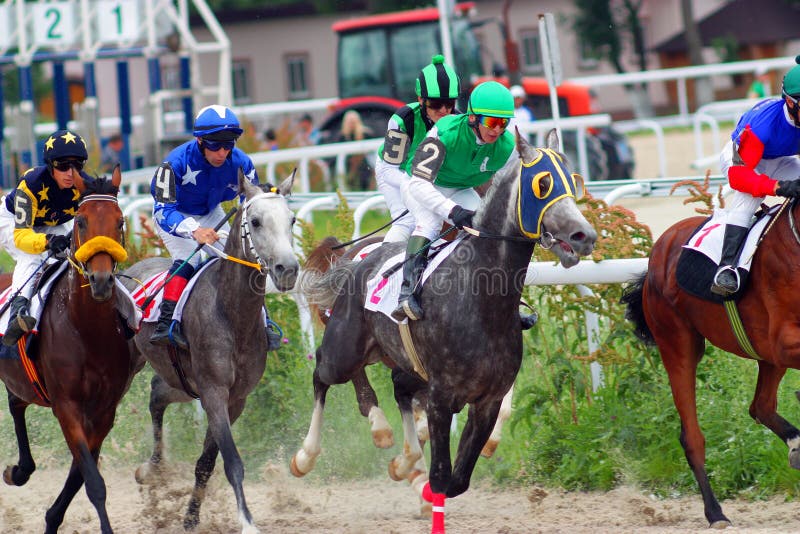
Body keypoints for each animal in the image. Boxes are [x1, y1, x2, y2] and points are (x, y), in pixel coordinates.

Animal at [0, 167, 138, 533]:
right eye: (81, 222)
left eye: (120, 221)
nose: (101, 281)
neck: (86, 331)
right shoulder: (66, 407)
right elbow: (93, 481)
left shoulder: (104, 411)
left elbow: (81, 474)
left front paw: (52, 518)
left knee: (16, 402)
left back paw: (20, 470)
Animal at [122, 171, 298, 533]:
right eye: (256, 222)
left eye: (292, 219)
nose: (288, 269)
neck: (233, 315)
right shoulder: (214, 391)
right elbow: (232, 462)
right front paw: (247, 522)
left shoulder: (234, 398)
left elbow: (207, 461)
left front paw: (191, 517)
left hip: (180, 380)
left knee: (156, 395)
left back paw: (152, 469)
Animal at [291, 129, 597, 527]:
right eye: (542, 184)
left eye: (573, 181)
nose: (583, 235)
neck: (481, 300)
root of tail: (357, 261)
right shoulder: (440, 398)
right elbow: (441, 476)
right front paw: (420, 482)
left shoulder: (487, 400)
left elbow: (456, 480)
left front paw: (412, 475)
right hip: (345, 352)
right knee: (322, 374)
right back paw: (309, 454)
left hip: (403, 363)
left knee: (398, 387)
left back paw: (402, 459)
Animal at [621, 198, 800, 528]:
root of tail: (659, 250)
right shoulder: (784, 340)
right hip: (678, 344)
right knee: (692, 437)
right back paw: (715, 513)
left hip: (765, 353)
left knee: (760, 407)